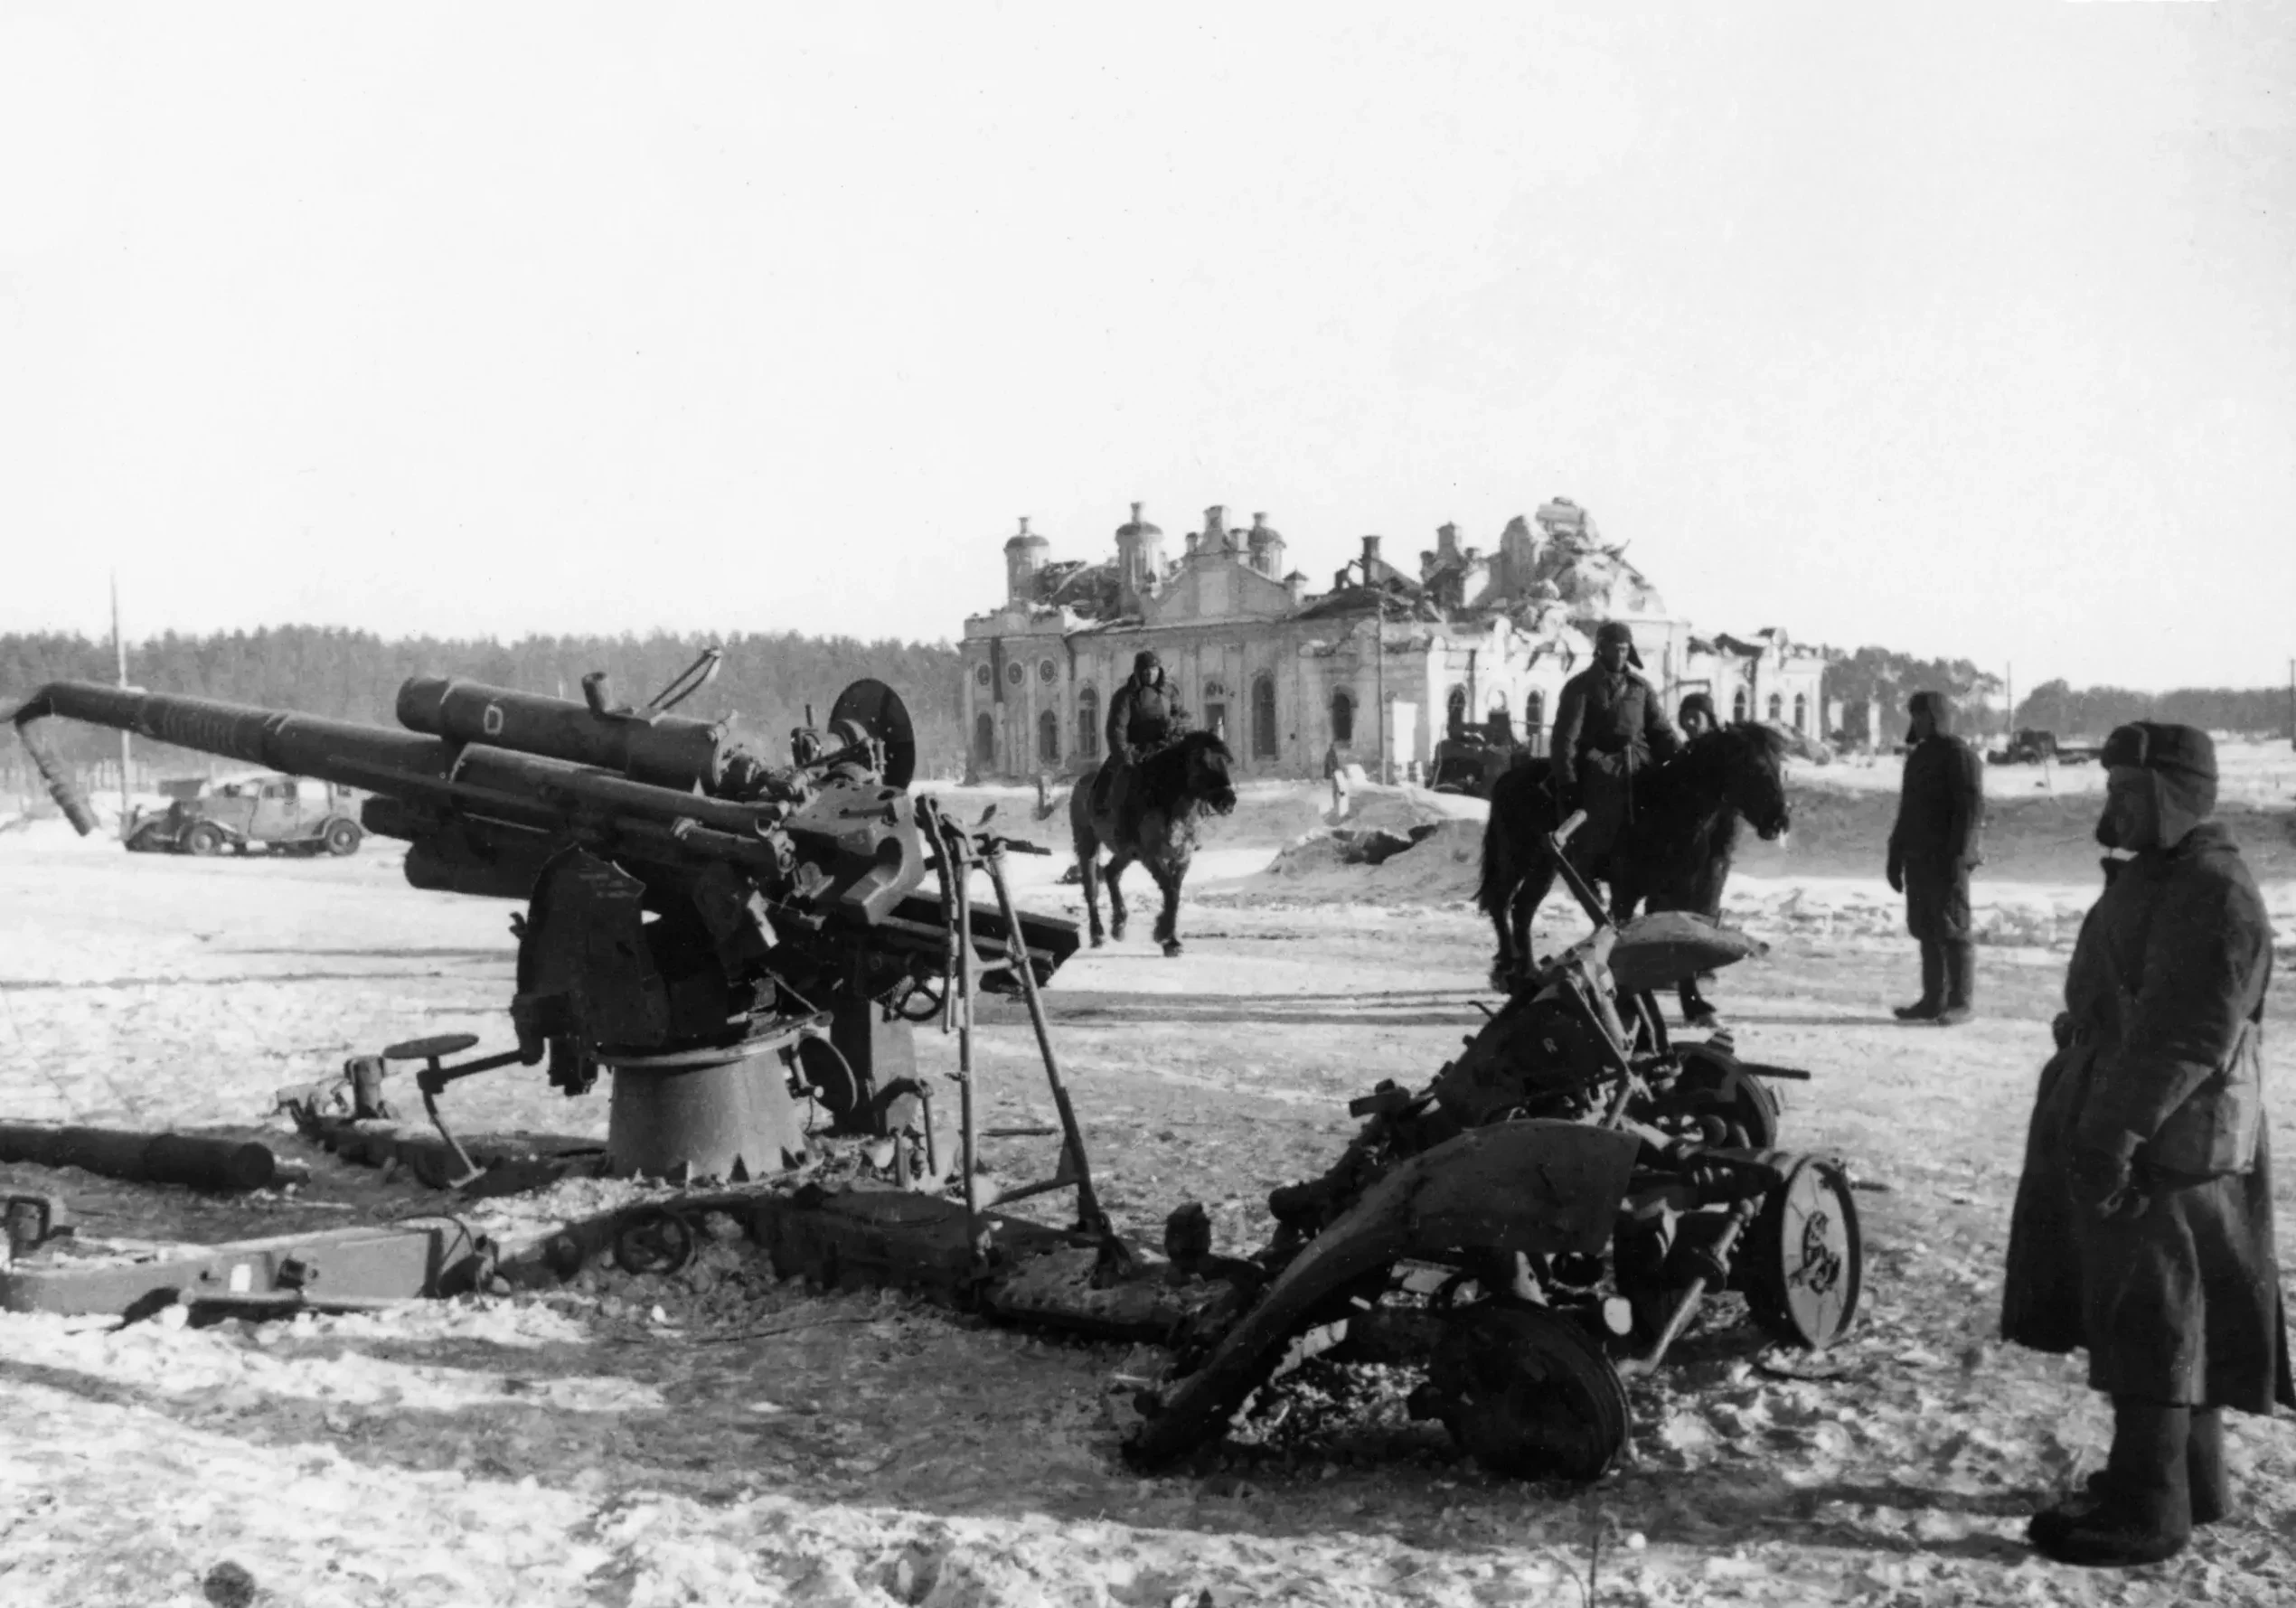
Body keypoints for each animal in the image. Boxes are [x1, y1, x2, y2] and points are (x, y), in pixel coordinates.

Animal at [1069, 730, 1239, 955]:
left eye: (1225, 760)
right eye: (1199, 761)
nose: (1228, 801)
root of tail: (1082, 782)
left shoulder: (1182, 857)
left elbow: (1174, 892)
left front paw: (1170, 939)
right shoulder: (1151, 856)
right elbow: (1170, 890)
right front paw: (1163, 934)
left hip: (1127, 852)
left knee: (1111, 872)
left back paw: (1119, 924)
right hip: (1087, 844)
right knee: (1092, 889)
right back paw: (1098, 934)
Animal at [1478, 726, 1782, 1024]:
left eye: (1777, 765)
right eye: (1754, 767)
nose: (1779, 821)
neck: (1666, 808)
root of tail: (1507, 778)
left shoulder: (1681, 894)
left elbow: (1684, 941)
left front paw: (1694, 1005)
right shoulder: (1626, 892)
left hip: (1544, 867)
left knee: (1522, 909)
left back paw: (1528, 972)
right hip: (1516, 860)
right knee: (1501, 903)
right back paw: (1510, 972)